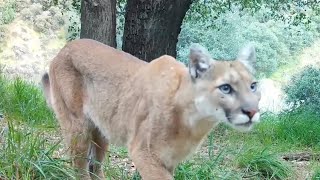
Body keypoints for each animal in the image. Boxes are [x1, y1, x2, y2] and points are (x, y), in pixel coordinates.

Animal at [42, 38, 260, 179]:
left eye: (253, 86)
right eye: (226, 88)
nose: (252, 111)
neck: (195, 121)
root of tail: (65, 47)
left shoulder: (168, 160)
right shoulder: (144, 153)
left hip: (101, 131)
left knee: (94, 166)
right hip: (77, 127)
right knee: (79, 167)